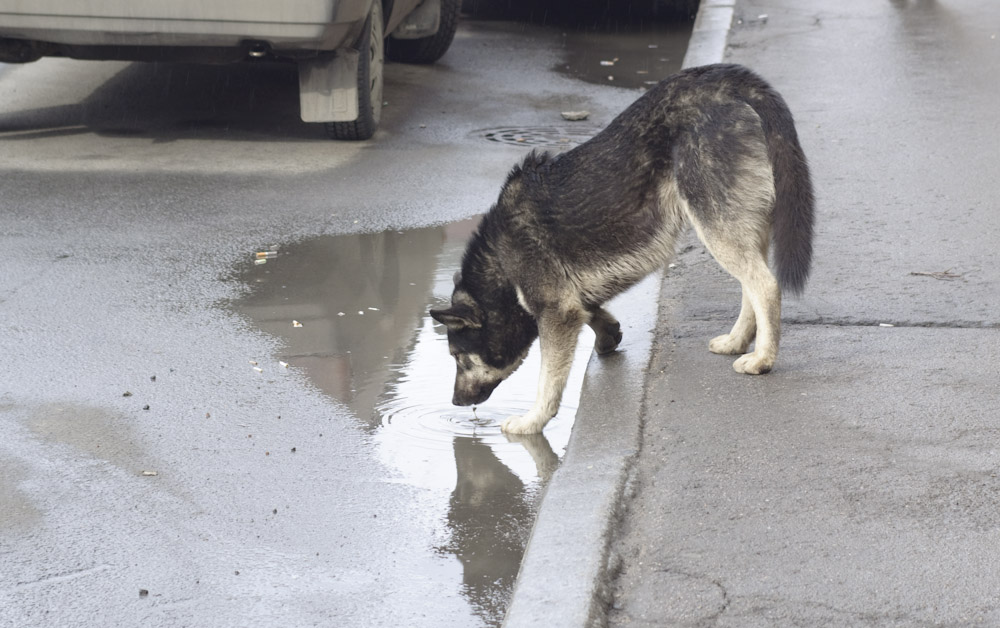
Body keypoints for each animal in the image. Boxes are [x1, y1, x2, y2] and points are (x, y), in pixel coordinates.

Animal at [428, 66, 812, 434]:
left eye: (458, 358)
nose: (456, 403)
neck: (501, 264)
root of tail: (727, 79)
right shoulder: (569, 302)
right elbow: (592, 310)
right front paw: (607, 333)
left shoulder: (556, 312)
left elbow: (547, 381)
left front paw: (533, 421)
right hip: (740, 226)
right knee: (751, 286)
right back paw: (737, 341)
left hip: (715, 225)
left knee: (765, 286)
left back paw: (762, 359)